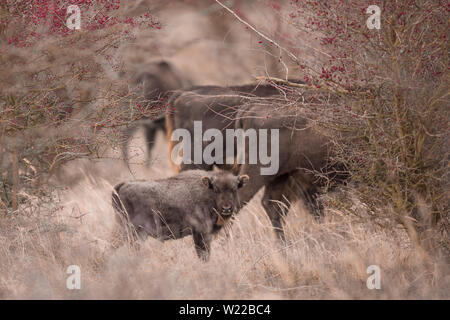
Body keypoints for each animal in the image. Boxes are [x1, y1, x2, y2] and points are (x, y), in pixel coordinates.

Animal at [110, 170, 248, 260]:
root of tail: (122, 185)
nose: (226, 208)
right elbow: (203, 254)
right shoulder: (200, 233)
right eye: (216, 189)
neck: (206, 192)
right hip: (129, 230)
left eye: (234, 189)